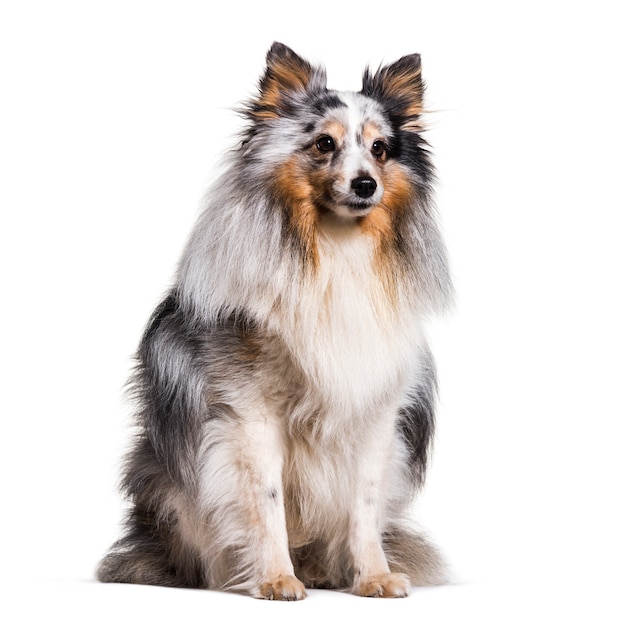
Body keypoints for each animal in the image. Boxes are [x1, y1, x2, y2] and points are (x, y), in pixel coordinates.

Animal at [96, 41, 448, 596]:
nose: (365, 185)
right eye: (324, 144)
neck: (336, 251)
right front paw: (276, 579)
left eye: (380, 149)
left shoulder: (375, 412)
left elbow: (365, 504)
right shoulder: (250, 414)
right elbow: (266, 502)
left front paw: (374, 576)